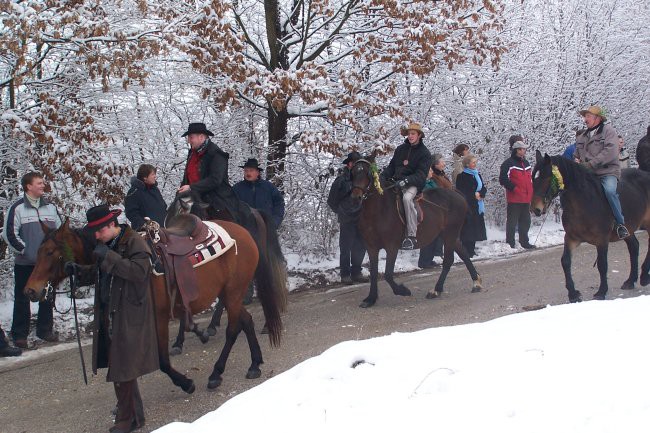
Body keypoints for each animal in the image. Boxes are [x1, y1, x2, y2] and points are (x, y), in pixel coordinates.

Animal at [24, 218, 284, 390]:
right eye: (38, 250)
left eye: (50, 252)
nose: (30, 290)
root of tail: (244, 232)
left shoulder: (158, 317)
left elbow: (162, 360)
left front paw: (186, 382)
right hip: (230, 294)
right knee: (246, 321)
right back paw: (255, 363)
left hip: (233, 292)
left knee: (233, 329)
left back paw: (216, 373)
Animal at [346, 155, 478, 308]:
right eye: (353, 172)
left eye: (367, 173)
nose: (355, 197)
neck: (378, 210)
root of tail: (458, 195)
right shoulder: (371, 247)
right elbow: (374, 273)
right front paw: (371, 298)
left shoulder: (392, 247)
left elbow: (388, 274)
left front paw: (403, 290)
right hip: (449, 235)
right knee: (464, 254)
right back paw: (475, 283)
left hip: (450, 234)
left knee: (449, 260)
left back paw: (437, 290)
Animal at [528, 150, 648, 302]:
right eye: (533, 179)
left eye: (547, 178)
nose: (535, 209)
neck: (583, 202)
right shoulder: (571, 238)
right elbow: (565, 261)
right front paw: (573, 294)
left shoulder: (602, 240)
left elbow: (602, 264)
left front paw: (601, 292)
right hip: (629, 229)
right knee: (634, 247)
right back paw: (631, 281)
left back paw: (644, 277)